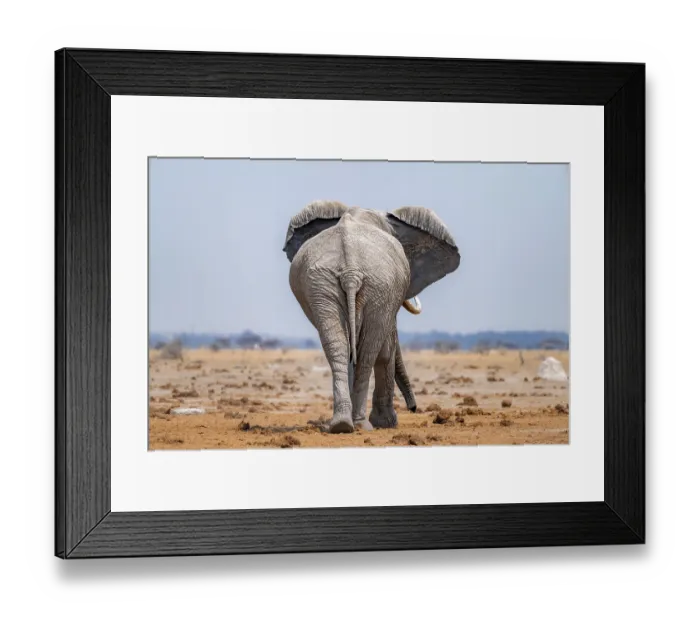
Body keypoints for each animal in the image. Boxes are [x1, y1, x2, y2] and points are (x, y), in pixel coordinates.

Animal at [283, 200, 460, 434]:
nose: (413, 408)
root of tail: (350, 271)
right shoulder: (390, 296)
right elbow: (386, 349)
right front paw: (387, 423)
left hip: (322, 284)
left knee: (339, 347)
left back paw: (341, 424)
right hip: (378, 287)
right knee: (369, 351)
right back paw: (362, 424)